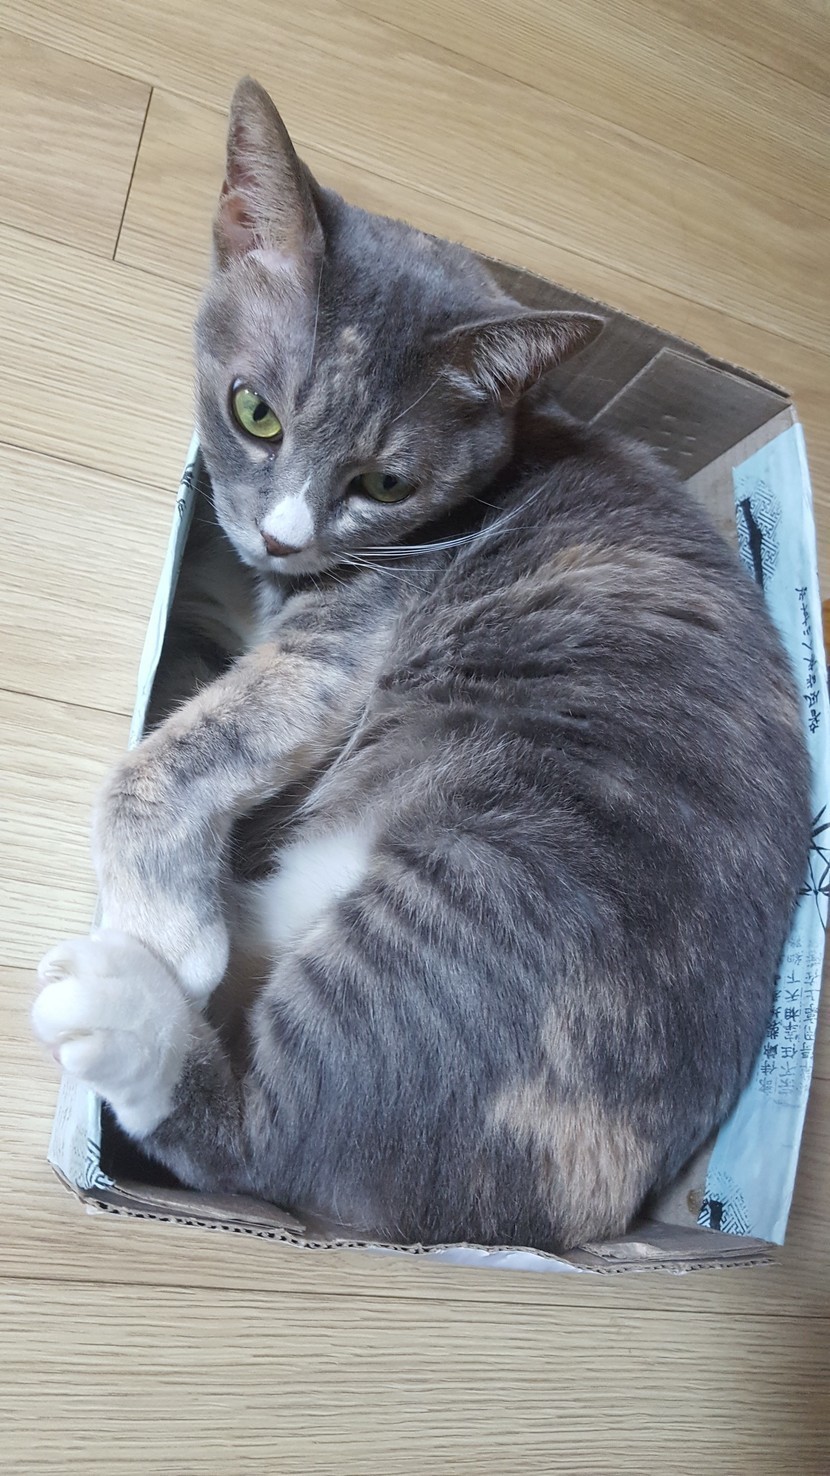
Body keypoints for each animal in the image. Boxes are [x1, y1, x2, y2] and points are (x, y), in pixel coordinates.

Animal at [32, 78, 810, 1252]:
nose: (282, 539)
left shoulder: (341, 647)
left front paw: (166, 922)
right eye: (254, 410)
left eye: (386, 482)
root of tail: (582, 1219)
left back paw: (126, 998)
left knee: (270, 1133)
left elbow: (165, 759)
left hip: (472, 886)